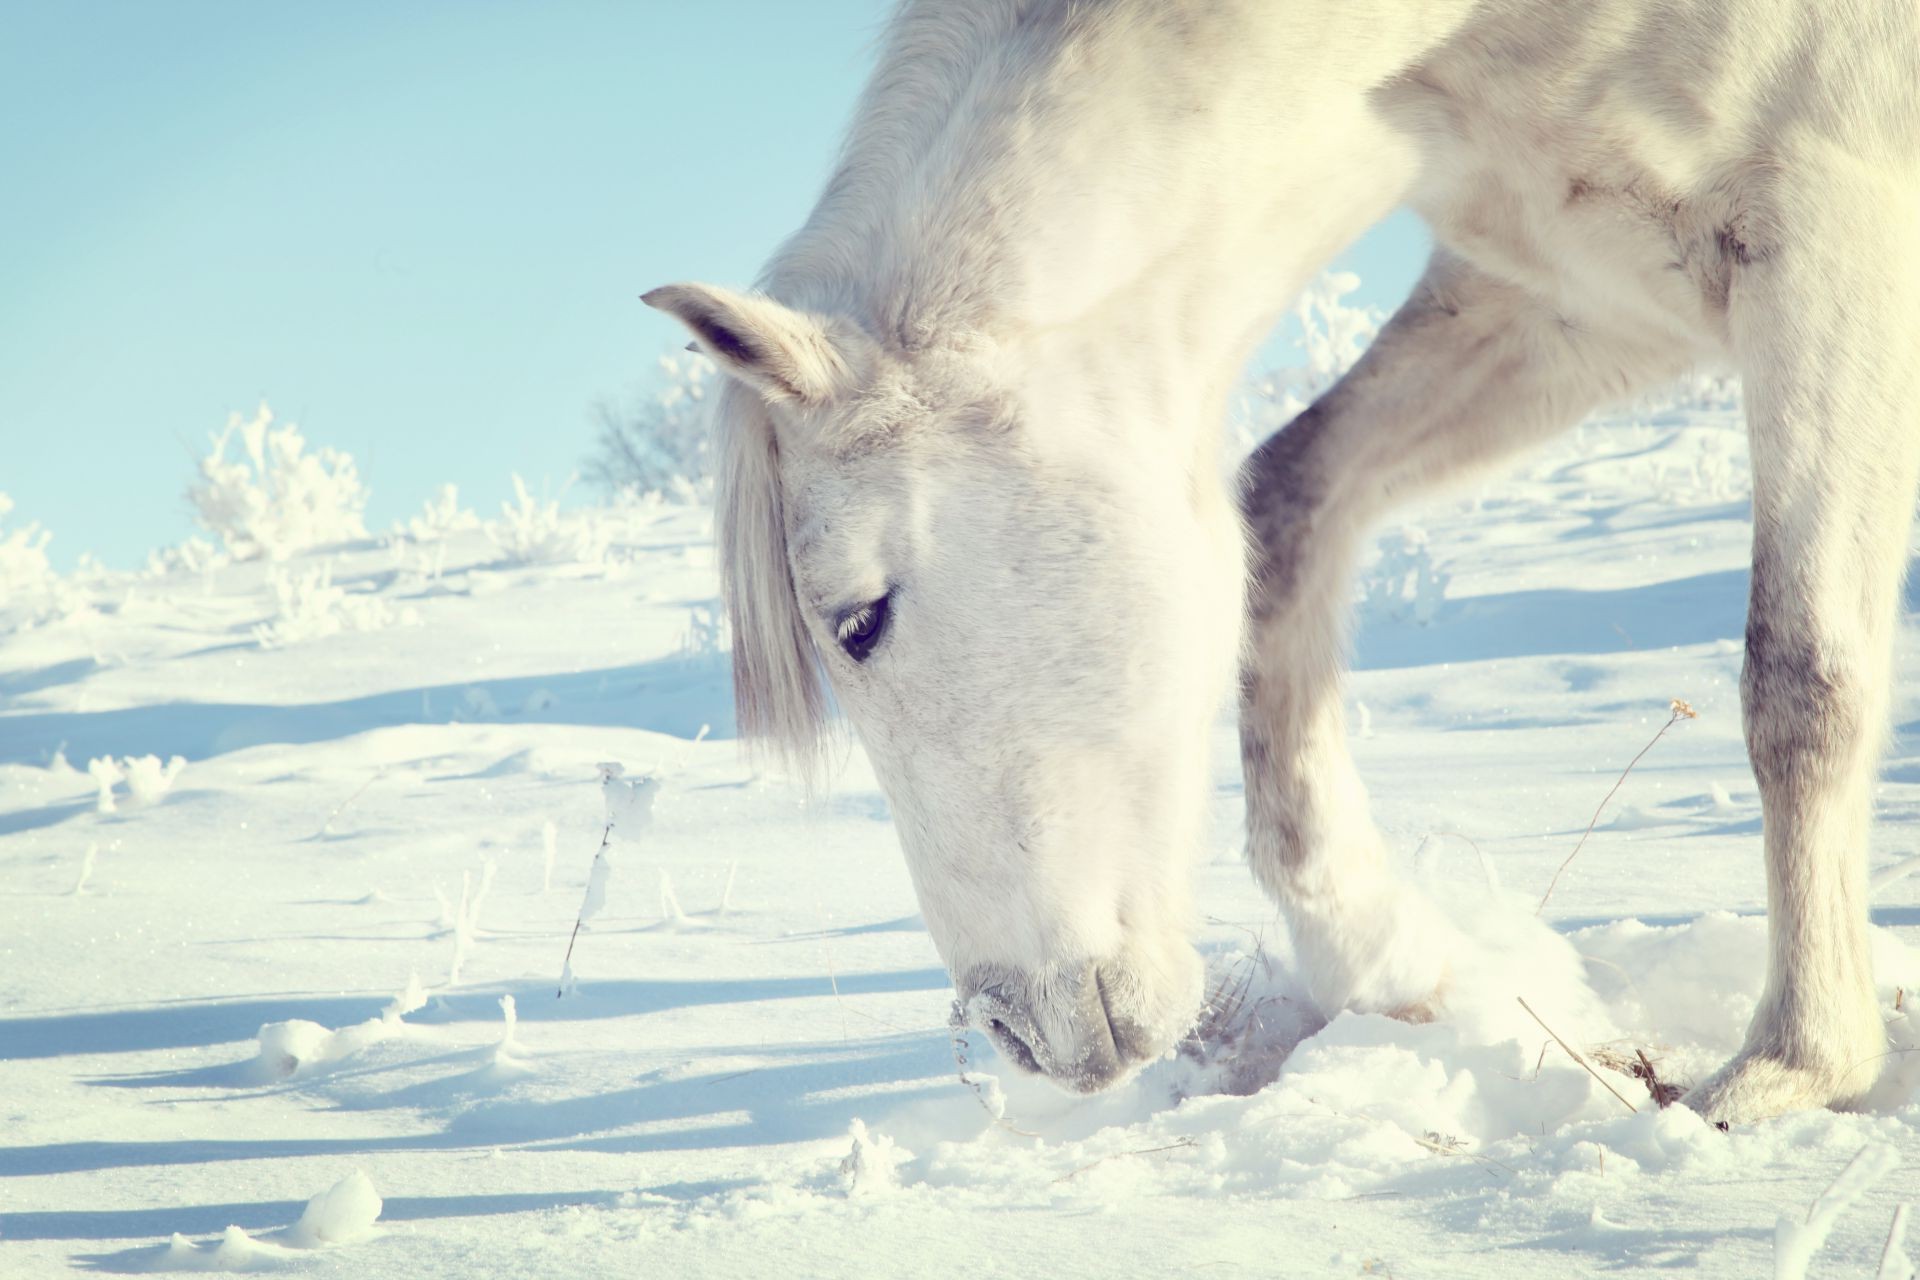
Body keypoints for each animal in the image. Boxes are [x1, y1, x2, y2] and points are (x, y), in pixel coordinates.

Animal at [648, 0, 1920, 1120]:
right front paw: (1384, 956)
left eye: (860, 618)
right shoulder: (1577, 296)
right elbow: (1288, 504)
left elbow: (1802, 676)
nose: (1016, 1032)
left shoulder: (1832, 234)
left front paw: (1796, 1063)